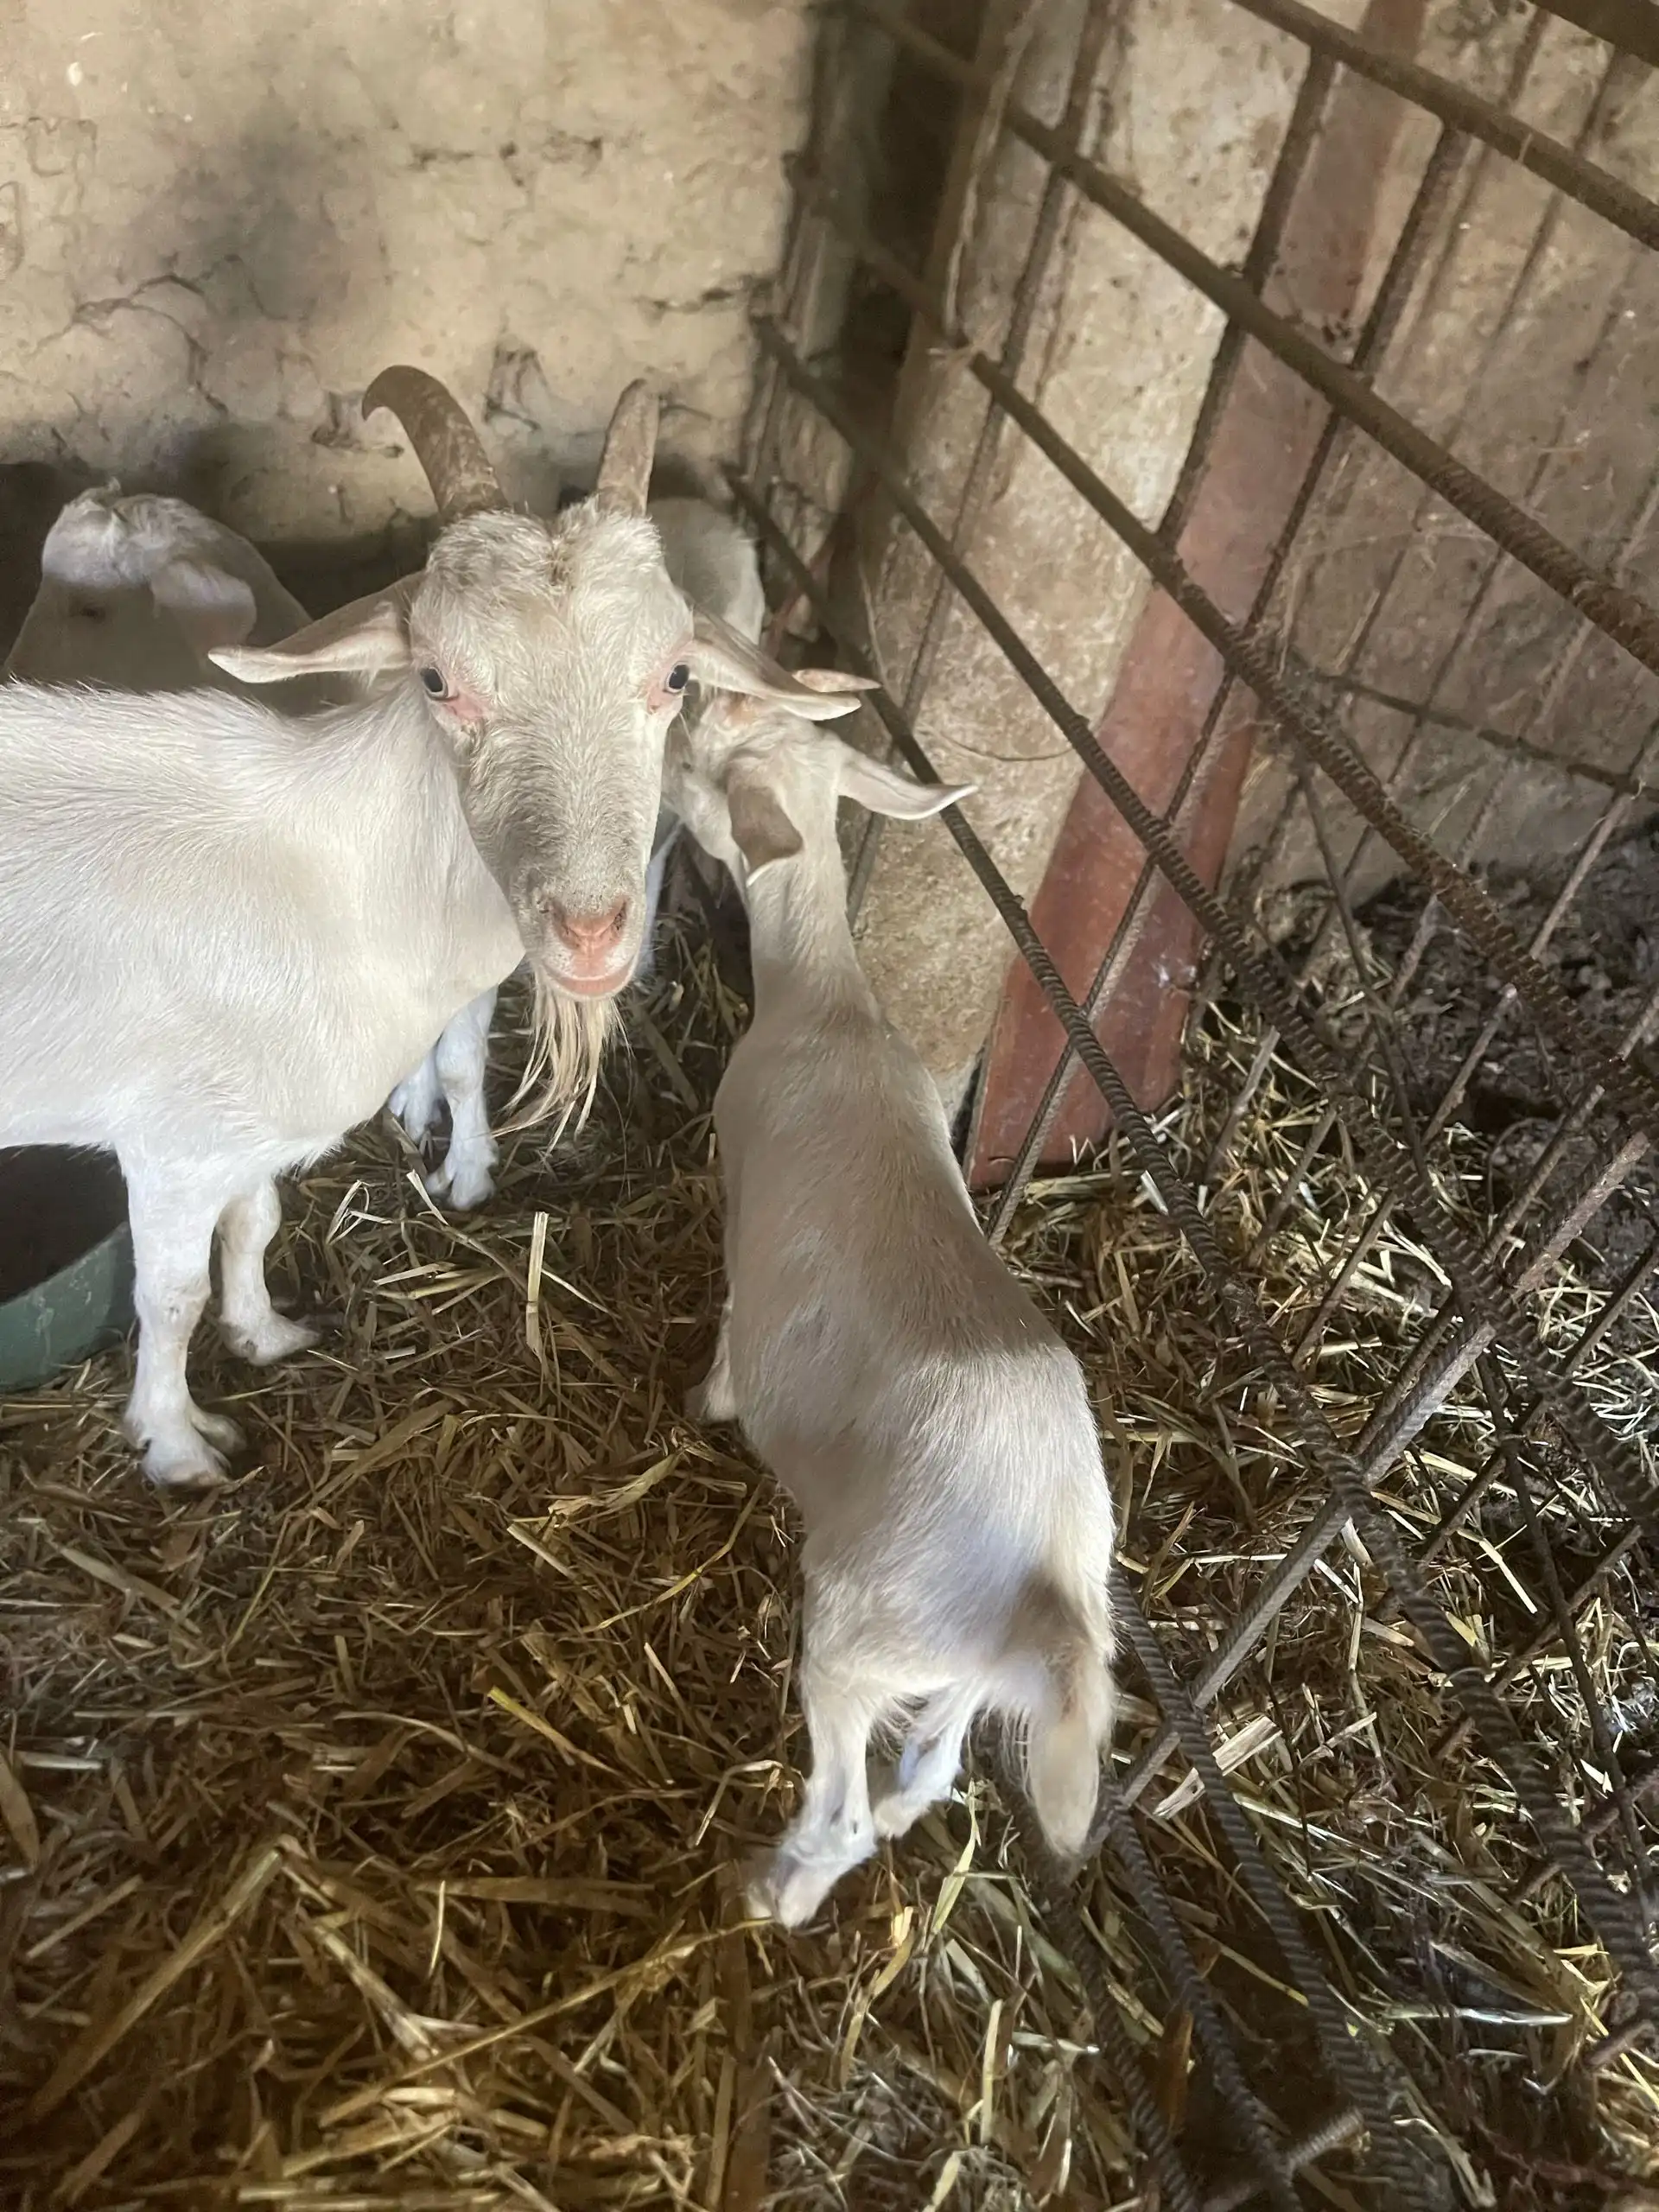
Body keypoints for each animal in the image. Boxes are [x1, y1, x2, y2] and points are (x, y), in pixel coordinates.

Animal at [0, 370, 858, 1486]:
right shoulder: (172, 1143)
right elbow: (170, 1297)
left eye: (675, 675)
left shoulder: (249, 1127)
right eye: (437, 679)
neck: (340, 875)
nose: (591, 931)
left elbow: (258, 1220)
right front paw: (178, 1445)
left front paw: (266, 1333)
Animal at [669, 688, 1118, 1926]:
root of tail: (1048, 1582)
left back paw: (770, 1892)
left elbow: (731, 1319)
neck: (830, 1000)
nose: (670, 724)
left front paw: (707, 1401)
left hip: (862, 1631)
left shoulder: (738, 1179)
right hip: (961, 1676)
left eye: (699, 763)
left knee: (848, 1813)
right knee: (924, 1775)